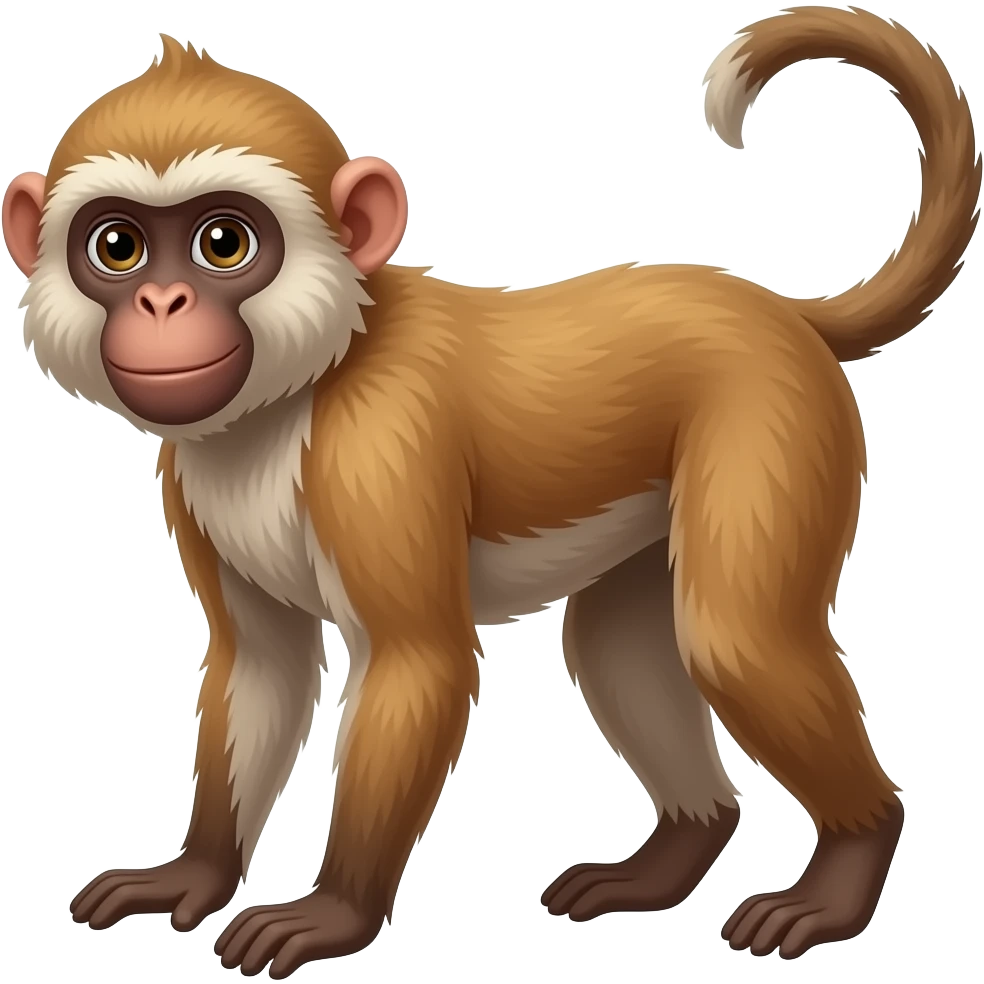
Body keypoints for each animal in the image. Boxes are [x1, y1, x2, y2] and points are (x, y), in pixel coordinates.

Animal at [2, 5, 978, 976]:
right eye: (119, 248)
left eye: (223, 243)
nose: (162, 305)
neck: (302, 384)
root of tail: (780, 312)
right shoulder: (193, 474)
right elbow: (263, 664)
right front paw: (195, 875)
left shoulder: (379, 446)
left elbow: (418, 661)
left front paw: (334, 912)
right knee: (617, 644)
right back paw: (674, 856)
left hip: (773, 419)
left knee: (735, 637)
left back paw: (846, 865)